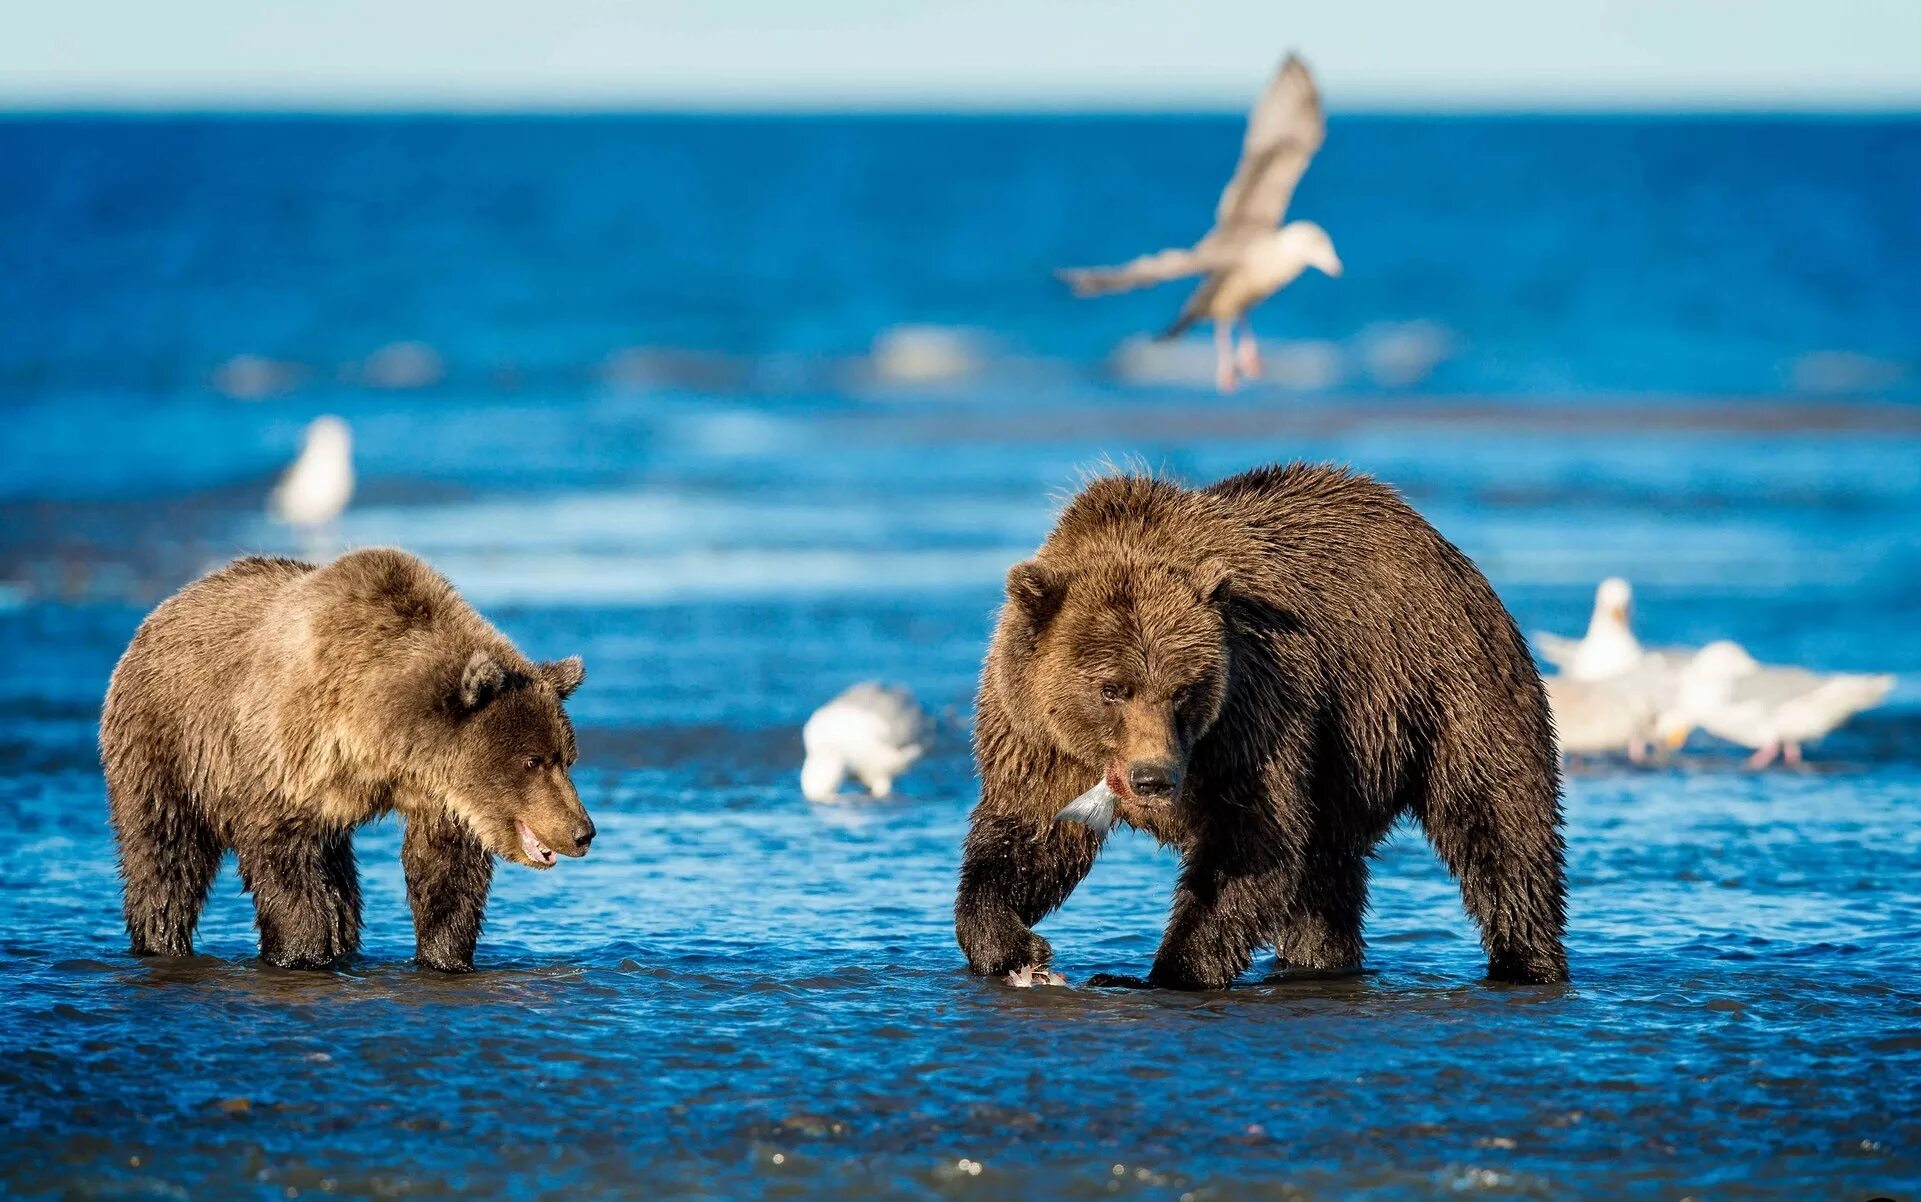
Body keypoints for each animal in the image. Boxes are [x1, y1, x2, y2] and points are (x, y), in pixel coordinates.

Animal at [100, 547, 595, 972]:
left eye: (567, 757)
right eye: (532, 761)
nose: (583, 832)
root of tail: (162, 611)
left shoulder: (436, 794)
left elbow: (445, 874)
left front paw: (446, 957)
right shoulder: (285, 757)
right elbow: (284, 865)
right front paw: (300, 952)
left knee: (340, 884)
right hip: (166, 742)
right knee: (165, 856)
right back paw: (161, 939)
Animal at [955, 464, 1568, 990]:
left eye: (1184, 688)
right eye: (1112, 689)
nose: (1154, 779)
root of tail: (1445, 550)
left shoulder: (1254, 715)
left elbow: (1251, 845)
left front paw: (1160, 972)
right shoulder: (1038, 740)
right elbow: (1029, 840)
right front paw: (1017, 945)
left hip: (1445, 689)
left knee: (1498, 822)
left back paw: (1526, 961)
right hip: (1345, 762)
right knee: (1326, 878)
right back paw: (1320, 960)